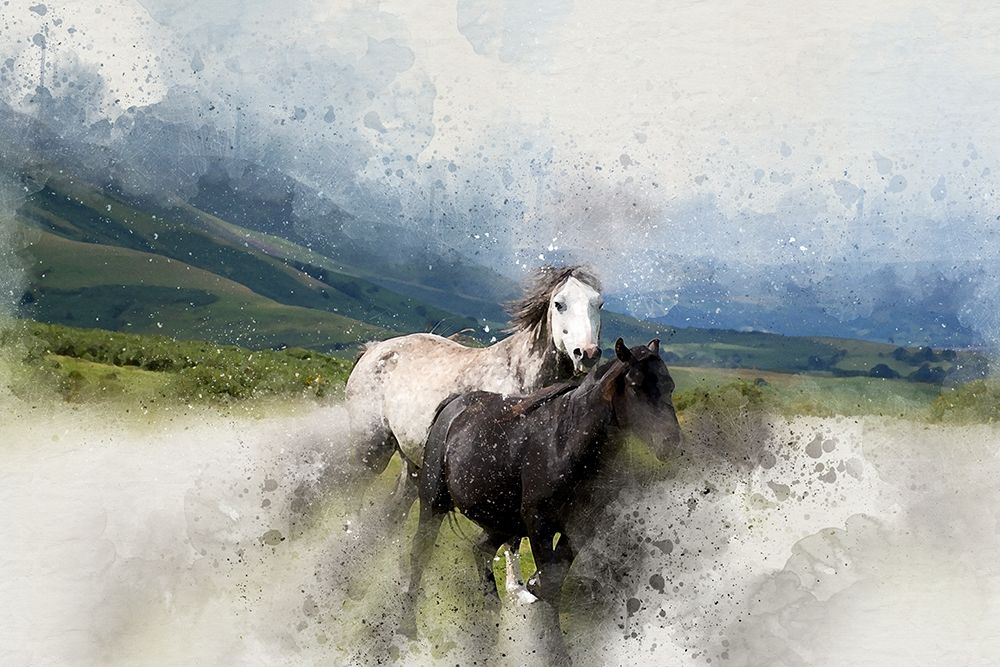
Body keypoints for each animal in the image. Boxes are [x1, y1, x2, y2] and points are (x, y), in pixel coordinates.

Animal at [344, 265, 604, 502]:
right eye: (559, 304)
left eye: (598, 304)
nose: (588, 353)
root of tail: (374, 348)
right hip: (372, 450)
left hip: (413, 463)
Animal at [401, 338, 682, 636]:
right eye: (635, 385)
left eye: (670, 385)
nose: (670, 442)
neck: (566, 444)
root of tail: (454, 406)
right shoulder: (539, 524)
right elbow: (548, 583)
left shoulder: (580, 526)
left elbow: (551, 582)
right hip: (433, 503)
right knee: (420, 552)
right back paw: (406, 627)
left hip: (503, 522)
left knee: (481, 550)